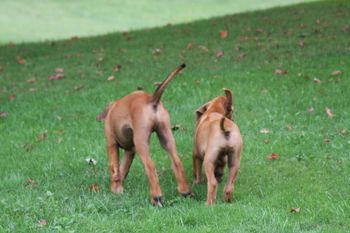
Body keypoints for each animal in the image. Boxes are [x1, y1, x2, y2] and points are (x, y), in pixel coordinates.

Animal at [97, 63, 191, 206]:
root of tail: (151, 99)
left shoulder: (111, 144)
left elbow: (114, 169)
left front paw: (115, 189)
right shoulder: (130, 150)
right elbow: (123, 169)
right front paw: (119, 188)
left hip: (141, 142)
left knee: (150, 166)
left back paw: (156, 198)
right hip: (166, 137)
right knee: (177, 162)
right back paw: (185, 192)